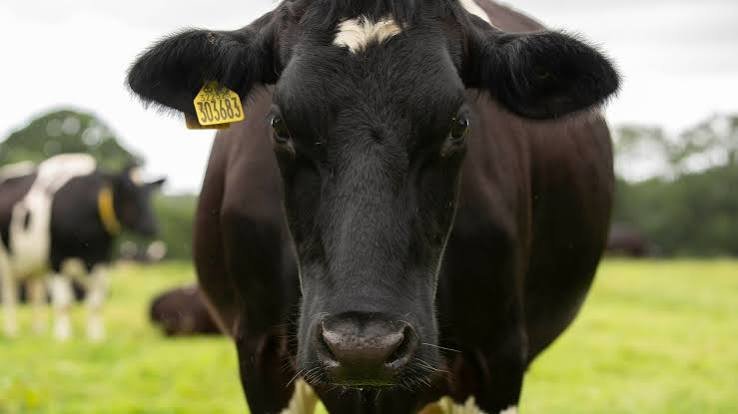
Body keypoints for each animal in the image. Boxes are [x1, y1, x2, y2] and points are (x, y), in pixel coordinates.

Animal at [0, 154, 165, 341]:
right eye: (128, 192)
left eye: (149, 194)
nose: (151, 226)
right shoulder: (56, 260)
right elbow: (63, 303)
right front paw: (63, 336)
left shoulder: (101, 260)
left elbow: (96, 303)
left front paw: (96, 337)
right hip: (6, 263)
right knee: (10, 295)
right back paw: (12, 331)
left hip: (34, 265)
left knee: (36, 294)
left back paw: (38, 331)